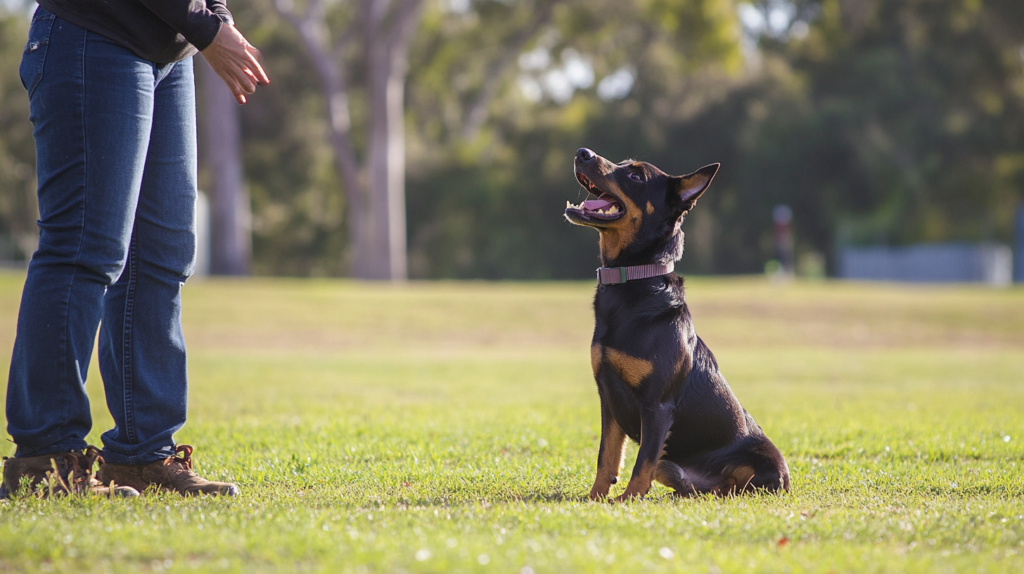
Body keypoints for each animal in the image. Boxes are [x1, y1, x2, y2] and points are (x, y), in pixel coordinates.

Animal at [565, 147, 786, 501]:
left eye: (636, 175)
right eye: (622, 164)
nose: (583, 153)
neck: (632, 280)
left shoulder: (657, 405)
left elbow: (641, 462)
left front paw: (627, 500)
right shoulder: (608, 398)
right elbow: (607, 457)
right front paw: (595, 499)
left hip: (763, 467)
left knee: (738, 484)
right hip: (670, 466)